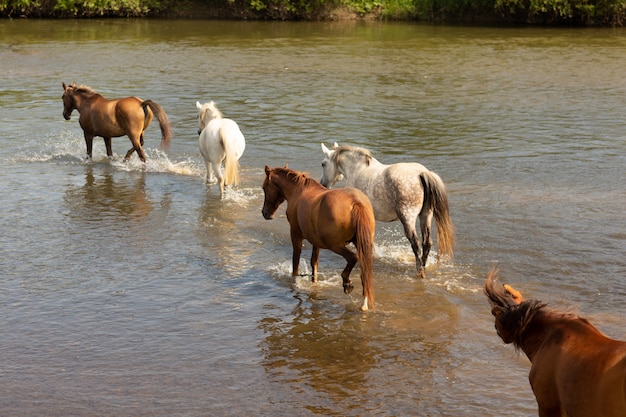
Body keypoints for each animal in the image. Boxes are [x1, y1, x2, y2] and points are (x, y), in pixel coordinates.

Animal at [260, 166, 376, 312]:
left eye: (264, 188)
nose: (265, 213)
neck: (299, 191)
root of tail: (356, 202)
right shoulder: (316, 242)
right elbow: (314, 263)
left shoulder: (296, 236)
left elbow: (296, 264)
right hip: (361, 244)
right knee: (365, 271)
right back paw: (364, 302)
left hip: (335, 245)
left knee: (353, 258)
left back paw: (347, 283)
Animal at [320, 142, 450, 276]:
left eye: (323, 163)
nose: (323, 184)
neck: (357, 169)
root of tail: (421, 173)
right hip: (426, 215)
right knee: (427, 243)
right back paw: (423, 266)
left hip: (408, 218)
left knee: (416, 244)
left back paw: (420, 271)